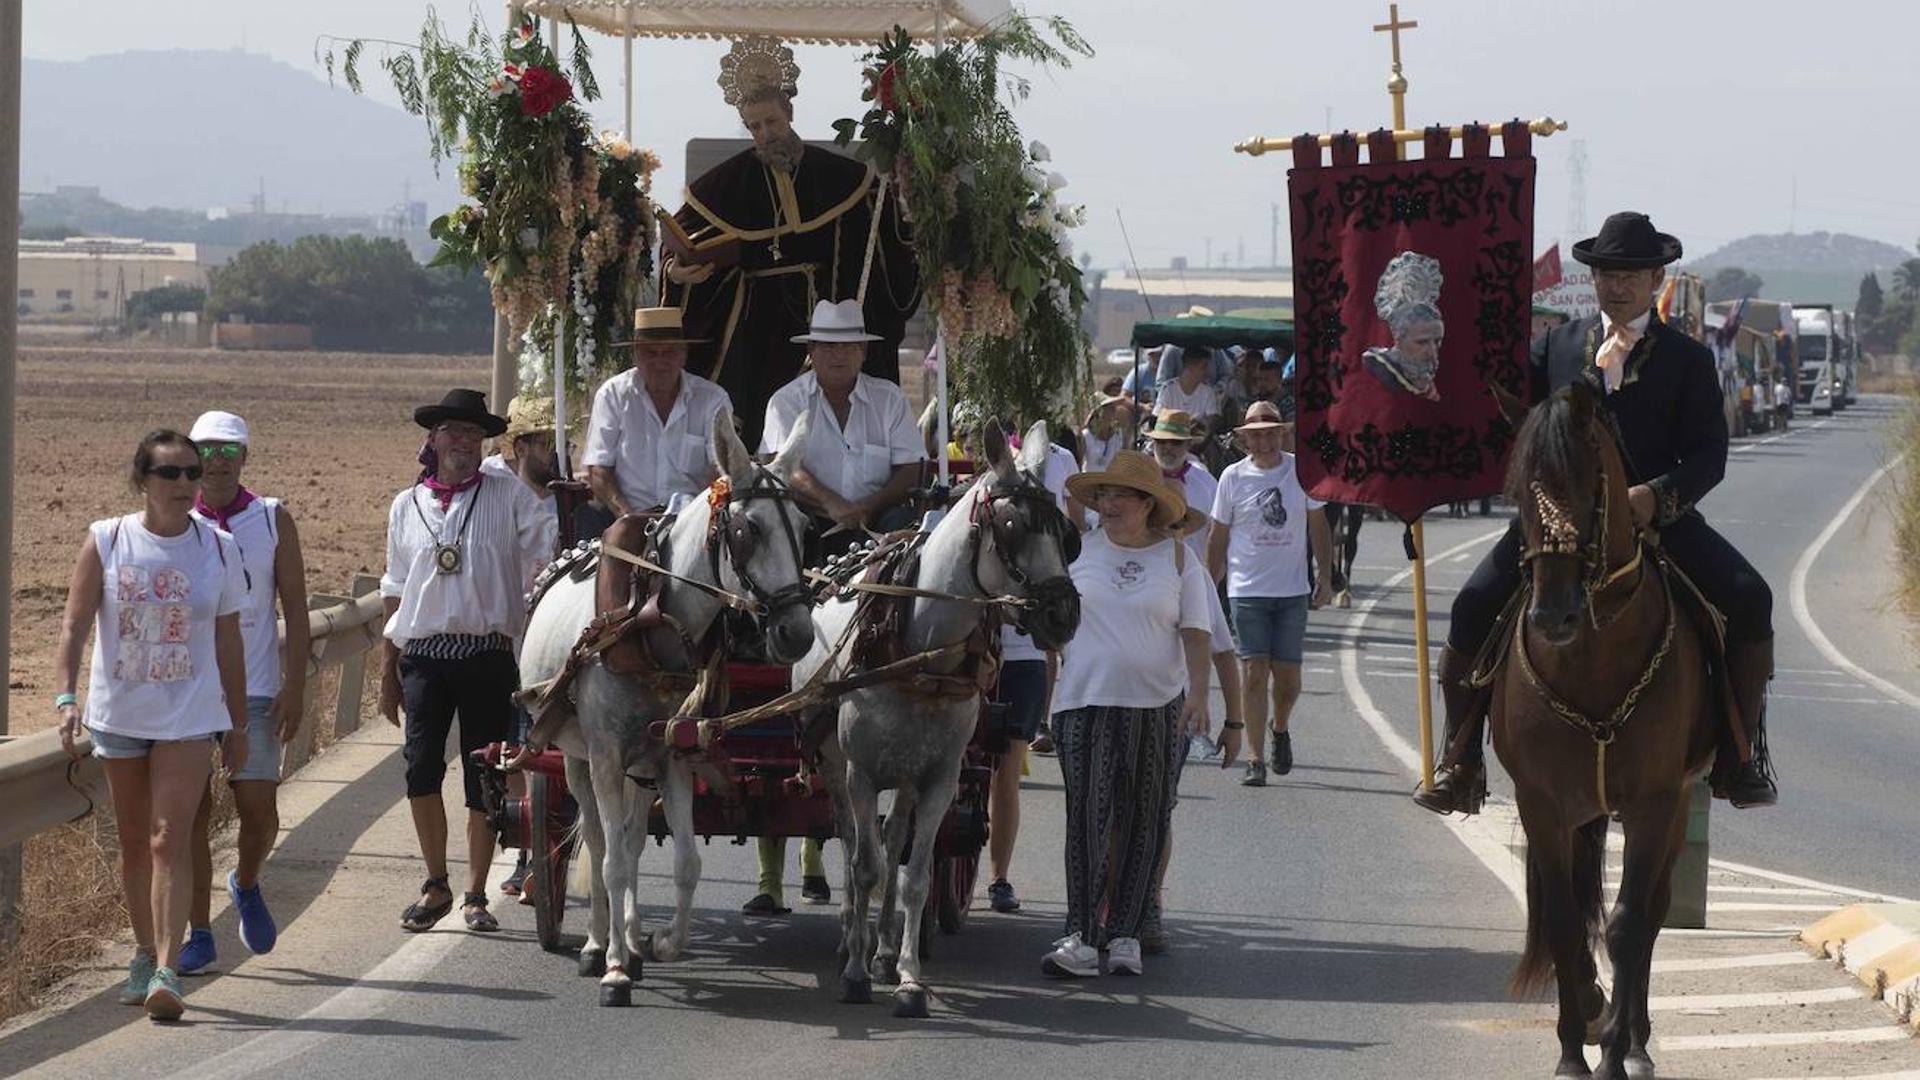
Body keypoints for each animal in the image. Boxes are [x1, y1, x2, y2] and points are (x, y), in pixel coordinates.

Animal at [518, 409, 810, 999]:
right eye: (747, 531)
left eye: (805, 526)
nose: (798, 632)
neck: (651, 616)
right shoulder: (606, 757)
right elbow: (609, 861)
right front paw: (612, 969)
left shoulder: (673, 755)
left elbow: (685, 861)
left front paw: (661, 943)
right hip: (576, 759)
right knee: (600, 841)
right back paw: (597, 945)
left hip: (641, 766)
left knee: (629, 840)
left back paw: (629, 939)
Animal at [794, 420, 1082, 1014]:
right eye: (1012, 525)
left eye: (1065, 532)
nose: (1063, 615)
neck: (920, 653)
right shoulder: (860, 774)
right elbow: (864, 865)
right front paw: (855, 973)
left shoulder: (941, 779)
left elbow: (916, 876)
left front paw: (906, 976)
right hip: (834, 765)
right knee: (853, 841)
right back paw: (851, 941)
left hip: (907, 774)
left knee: (893, 840)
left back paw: (881, 949)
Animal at [1489, 382, 1720, 1068]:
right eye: (1517, 489)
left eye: (1589, 482)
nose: (1553, 615)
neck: (1591, 653)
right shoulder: (1542, 803)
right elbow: (1566, 924)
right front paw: (1572, 1052)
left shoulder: (1652, 803)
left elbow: (1627, 924)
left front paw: (1616, 1050)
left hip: (1676, 805)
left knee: (1652, 914)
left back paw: (1638, 1042)